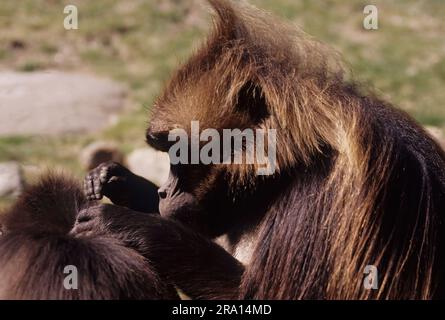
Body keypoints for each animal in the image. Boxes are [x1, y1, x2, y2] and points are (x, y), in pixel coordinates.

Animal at [78, 0, 442, 300]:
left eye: (177, 154)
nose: (164, 192)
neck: (293, 165)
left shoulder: (319, 194)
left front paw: (124, 224)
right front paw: (117, 180)